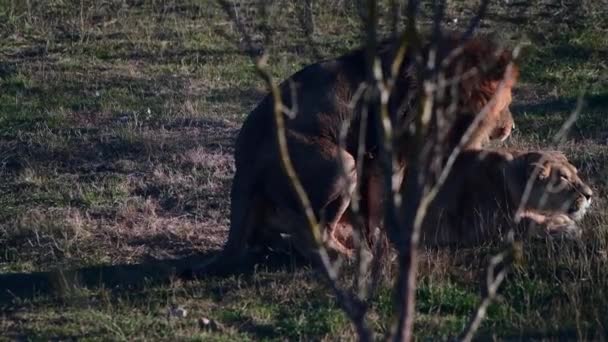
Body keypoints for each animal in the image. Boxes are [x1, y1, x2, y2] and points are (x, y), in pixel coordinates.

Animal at [180, 32, 516, 278]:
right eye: (509, 101)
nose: (512, 126)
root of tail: (242, 167)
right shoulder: (385, 156)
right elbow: (383, 206)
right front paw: (386, 246)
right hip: (341, 162)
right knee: (310, 234)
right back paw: (351, 257)